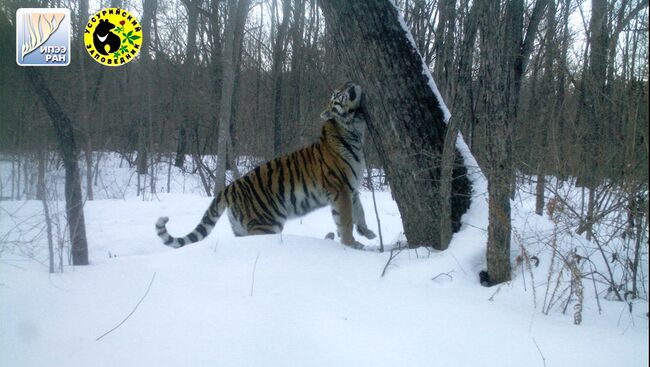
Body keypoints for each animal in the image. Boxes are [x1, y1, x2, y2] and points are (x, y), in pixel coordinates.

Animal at [156, 81, 374, 250]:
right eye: (337, 94)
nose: (350, 82)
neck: (354, 130)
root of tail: (230, 187)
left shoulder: (352, 189)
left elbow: (360, 212)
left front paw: (367, 232)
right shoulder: (340, 188)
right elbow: (345, 220)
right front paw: (352, 245)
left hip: (242, 228)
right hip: (265, 225)